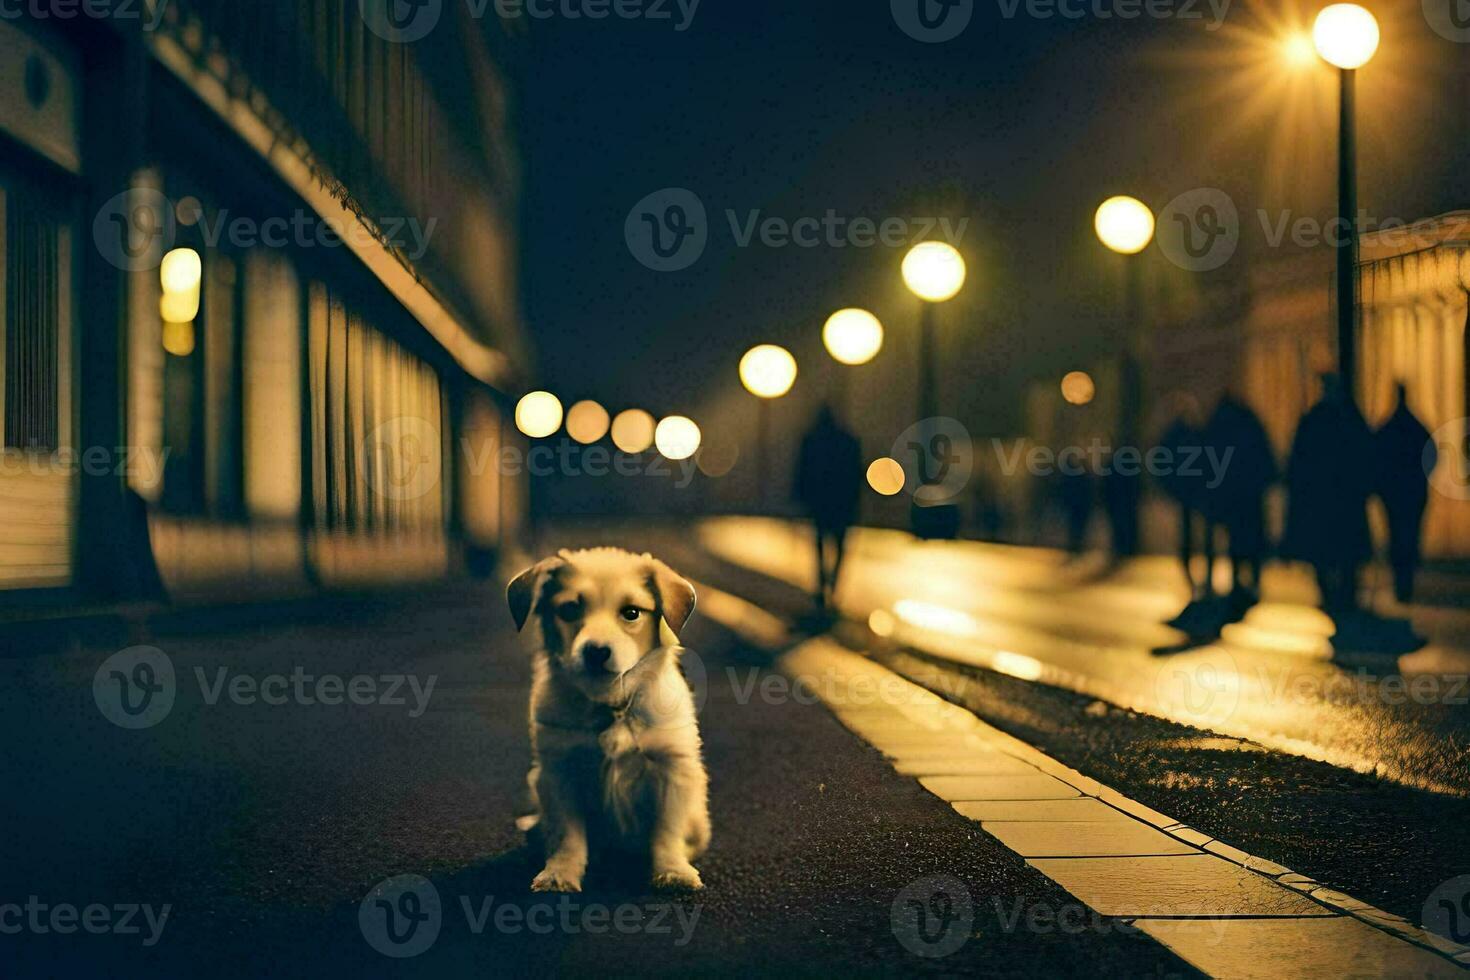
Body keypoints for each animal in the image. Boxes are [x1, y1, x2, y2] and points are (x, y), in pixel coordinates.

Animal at [505, 549, 711, 893]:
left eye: (631, 613)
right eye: (570, 609)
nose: (596, 652)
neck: (612, 704)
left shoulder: (672, 769)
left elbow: (667, 831)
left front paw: (672, 870)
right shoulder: (559, 771)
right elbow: (567, 834)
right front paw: (560, 872)